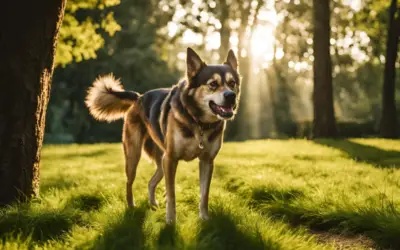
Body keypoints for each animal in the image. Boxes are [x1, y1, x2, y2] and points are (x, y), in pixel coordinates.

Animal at [85, 47, 241, 224]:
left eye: (232, 83)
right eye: (213, 84)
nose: (230, 96)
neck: (198, 122)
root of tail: (139, 97)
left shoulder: (207, 161)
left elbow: (204, 194)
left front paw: (204, 218)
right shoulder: (171, 159)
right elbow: (171, 194)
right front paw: (171, 221)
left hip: (161, 161)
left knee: (151, 182)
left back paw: (153, 204)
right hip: (135, 156)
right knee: (129, 183)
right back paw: (131, 207)